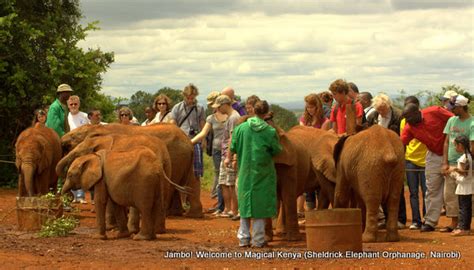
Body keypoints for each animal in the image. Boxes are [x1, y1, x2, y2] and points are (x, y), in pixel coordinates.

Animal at [59, 123, 200, 218]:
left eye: (74, 136)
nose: (62, 142)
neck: (99, 127)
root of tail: (189, 141)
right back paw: (181, 214)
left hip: (177, 157)